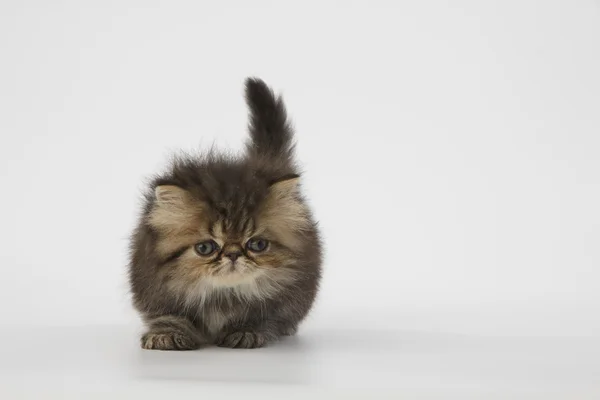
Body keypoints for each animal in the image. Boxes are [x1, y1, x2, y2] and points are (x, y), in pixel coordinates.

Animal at [127, 77, 324, 350]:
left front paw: (245, 330)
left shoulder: (284, 297)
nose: (232, 254)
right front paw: (166, 334)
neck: (222, 296)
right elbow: (169, 315)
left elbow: (261, 314)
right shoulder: (155, 289)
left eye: (258, 244)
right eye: (205, 248)